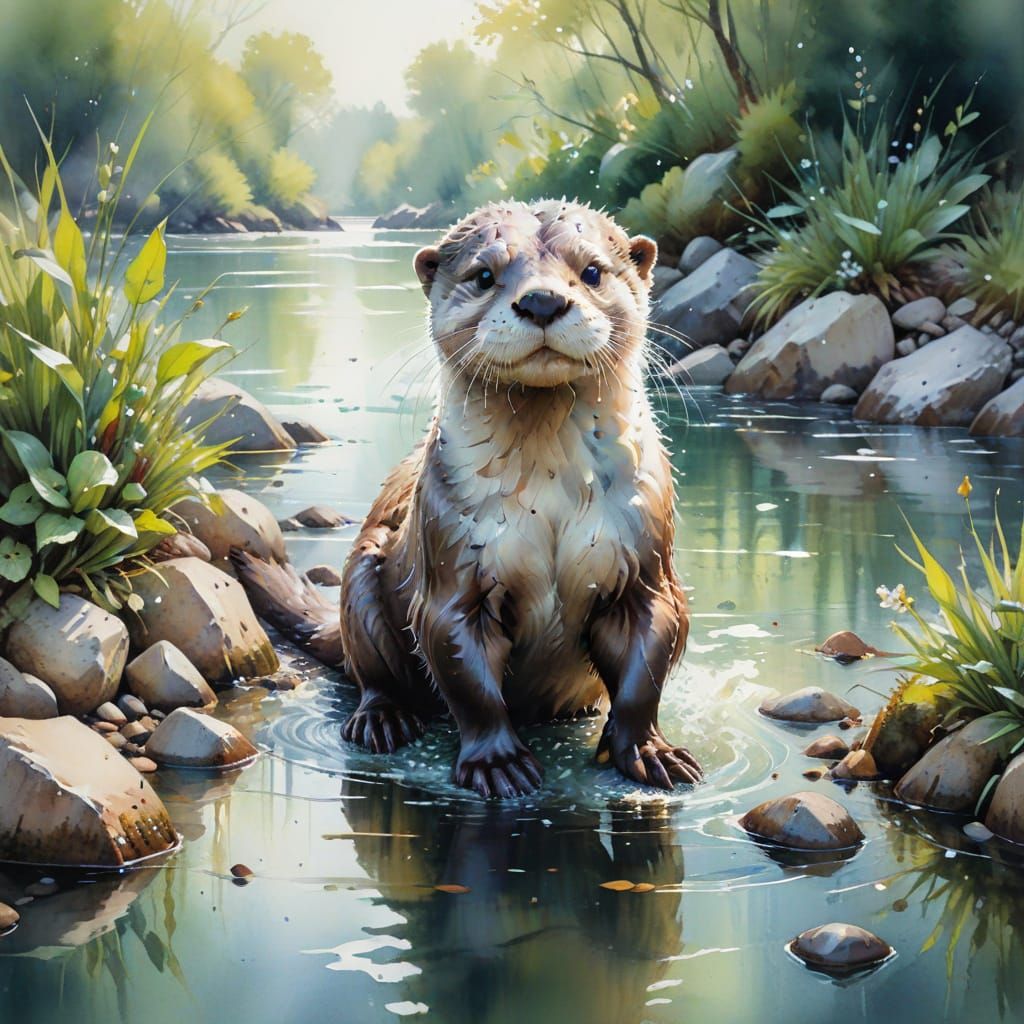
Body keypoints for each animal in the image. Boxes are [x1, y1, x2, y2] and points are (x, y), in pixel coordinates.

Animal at [235, 199, 702, 798]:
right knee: (370, 671)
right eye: (484, 275)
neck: (550, 501)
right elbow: (467, 678)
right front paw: (497, 763)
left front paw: (649, 750)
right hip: (362, 575)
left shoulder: (647, 560)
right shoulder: (450, 564)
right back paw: (382, 719)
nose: (543, 300)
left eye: (593, 271)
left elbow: (647, 668)